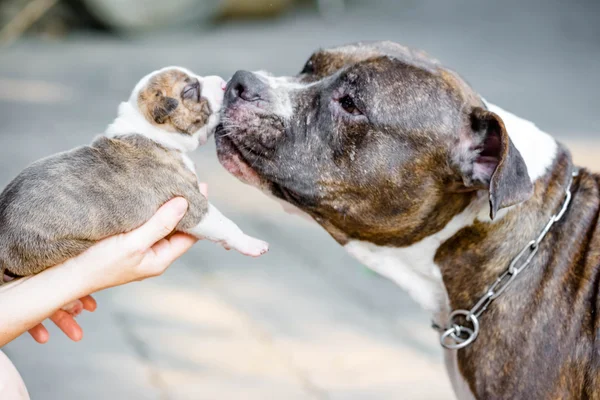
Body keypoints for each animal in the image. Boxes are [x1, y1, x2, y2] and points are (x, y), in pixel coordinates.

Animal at [0, 65, 268, 294]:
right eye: (190, 90)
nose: (224, 83)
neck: (151, 131)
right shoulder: (190, 202)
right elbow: (224, 223)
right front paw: (250, 243)